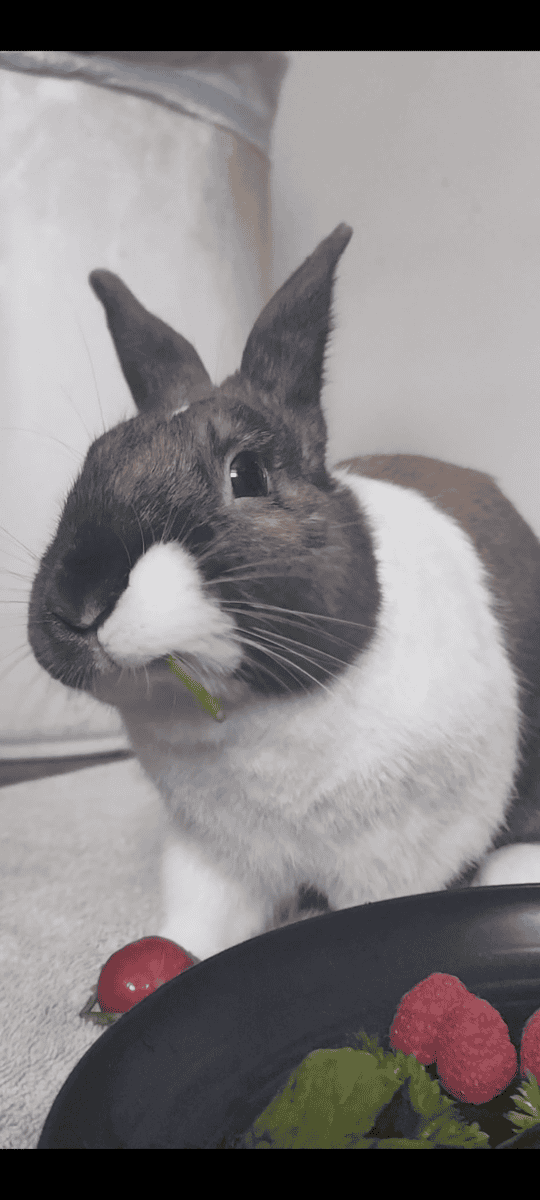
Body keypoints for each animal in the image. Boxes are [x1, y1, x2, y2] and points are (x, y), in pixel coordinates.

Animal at [27, 224, 540, 962]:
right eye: (94, 460)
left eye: (246, 474)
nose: (79, 605)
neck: (252, 716)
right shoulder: (209, 857)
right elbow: (197, 922)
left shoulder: (389, 862)